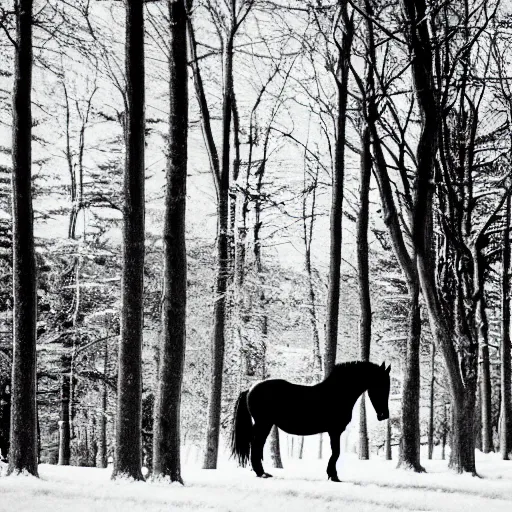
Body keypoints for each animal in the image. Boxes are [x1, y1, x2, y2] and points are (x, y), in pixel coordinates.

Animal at [232, 360, 392, 480]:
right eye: (381, 386)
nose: (384, 415)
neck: (338, 393)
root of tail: (250, 389)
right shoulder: (335, 431)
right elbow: (336, 452)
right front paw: (333, 476)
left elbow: (335, 452)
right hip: (264, 423)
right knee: (256, 445)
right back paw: (261, 473)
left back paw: (261, 472)